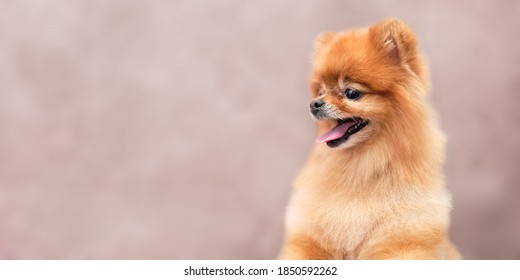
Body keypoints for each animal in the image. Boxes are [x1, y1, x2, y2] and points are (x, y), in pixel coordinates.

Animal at [278, 19, 462, 260]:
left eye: (351, 93)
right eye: (320, 91)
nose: (314, 104)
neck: (363, 166)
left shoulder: (402, 240)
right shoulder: (309, 240)